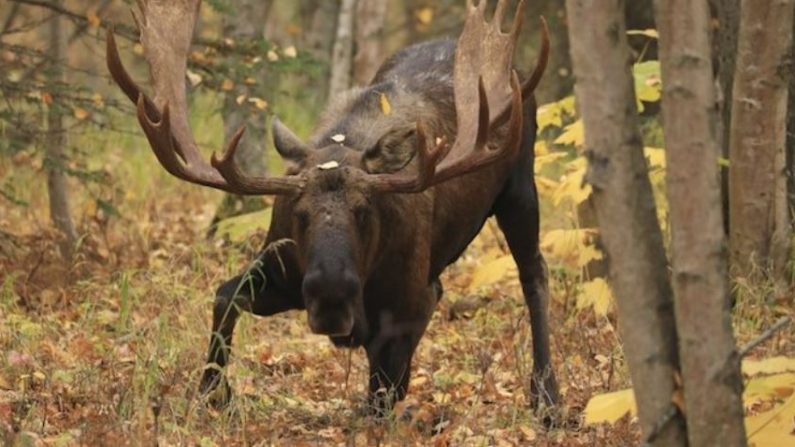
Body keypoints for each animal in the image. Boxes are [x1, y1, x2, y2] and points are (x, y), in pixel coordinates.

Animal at [107, 0, 560, 414]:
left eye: (364, 210)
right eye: (299, 214)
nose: (331, 296)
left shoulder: (409, 305)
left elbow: (381, 394)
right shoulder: (282, 272)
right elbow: (224, 297)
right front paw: (214, 393)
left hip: (520, 188)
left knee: (534, 275)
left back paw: (547, 396)